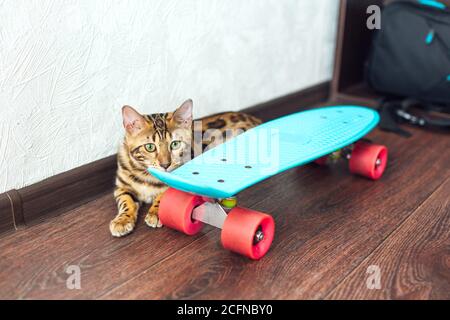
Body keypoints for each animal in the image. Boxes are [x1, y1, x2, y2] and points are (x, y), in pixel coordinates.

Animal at [110, 100, 262, 238]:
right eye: (150, 147)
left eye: (175, 144)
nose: (165, 165)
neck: (146, 175)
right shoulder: (121, 187)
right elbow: (125, 201)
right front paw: (122, 220)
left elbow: (163, 195)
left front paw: (155, 212)